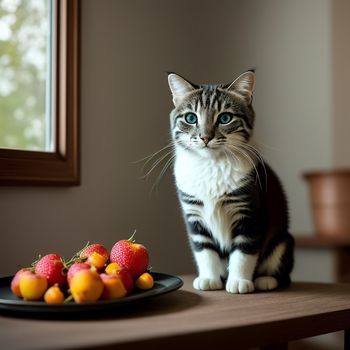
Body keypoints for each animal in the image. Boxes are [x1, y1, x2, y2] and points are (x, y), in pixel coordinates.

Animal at [168, 70, 294, 292]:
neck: (211, 165)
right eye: (190, 118)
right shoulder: (194, 214)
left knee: (281, 267)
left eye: (225, 118)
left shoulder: (249, 210)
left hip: (284, 240)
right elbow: (203, 249)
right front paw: (209, 278)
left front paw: (239, 281)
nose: (205, 137)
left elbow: (244, 250)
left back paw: (266, 280)